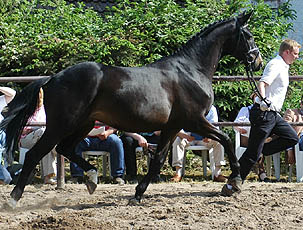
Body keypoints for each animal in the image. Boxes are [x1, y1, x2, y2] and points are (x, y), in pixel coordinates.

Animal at [1, 11, 262, 208]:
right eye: (248, 36)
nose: (258, 61)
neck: (191, 70)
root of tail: (53, 78)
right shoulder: (194, 121)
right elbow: (226, 140)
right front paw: (235, 182)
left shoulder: (172, 126)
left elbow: (158, 160)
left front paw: (137, 194)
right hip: (61, 124)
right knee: (36, 154)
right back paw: (13, 200)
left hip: (83, 123)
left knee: (65, 148)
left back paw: (92, 178)